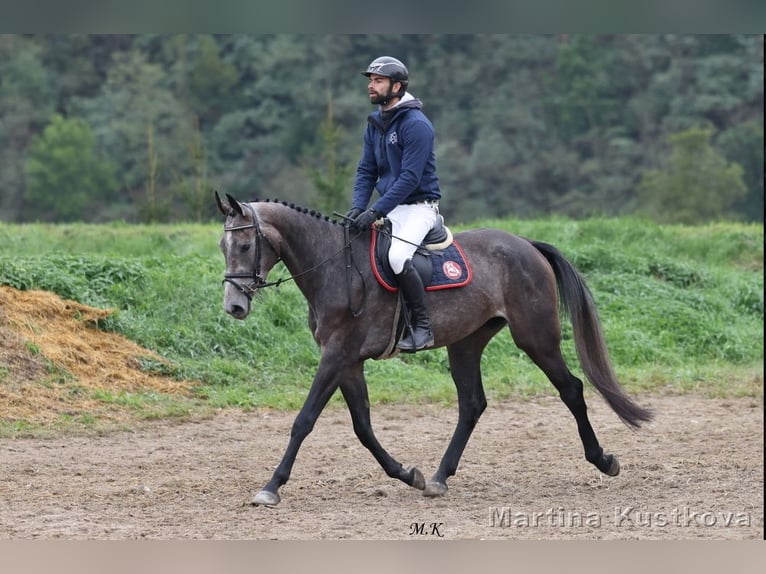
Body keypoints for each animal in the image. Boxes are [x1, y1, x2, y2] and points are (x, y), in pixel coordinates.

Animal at [215, 192, 653, 506]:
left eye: (245, 244)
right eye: (223, 245)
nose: (234, 306)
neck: (333, 266)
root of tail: (526, 244)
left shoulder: (337, 356)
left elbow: (304, 421)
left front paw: (271, 487)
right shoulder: (349, 362)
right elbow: (363, 427)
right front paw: (408, 474)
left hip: (536, 338)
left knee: (571, 389)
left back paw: (603, 460)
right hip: (466, 344)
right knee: (472, 404)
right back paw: (440, 478)